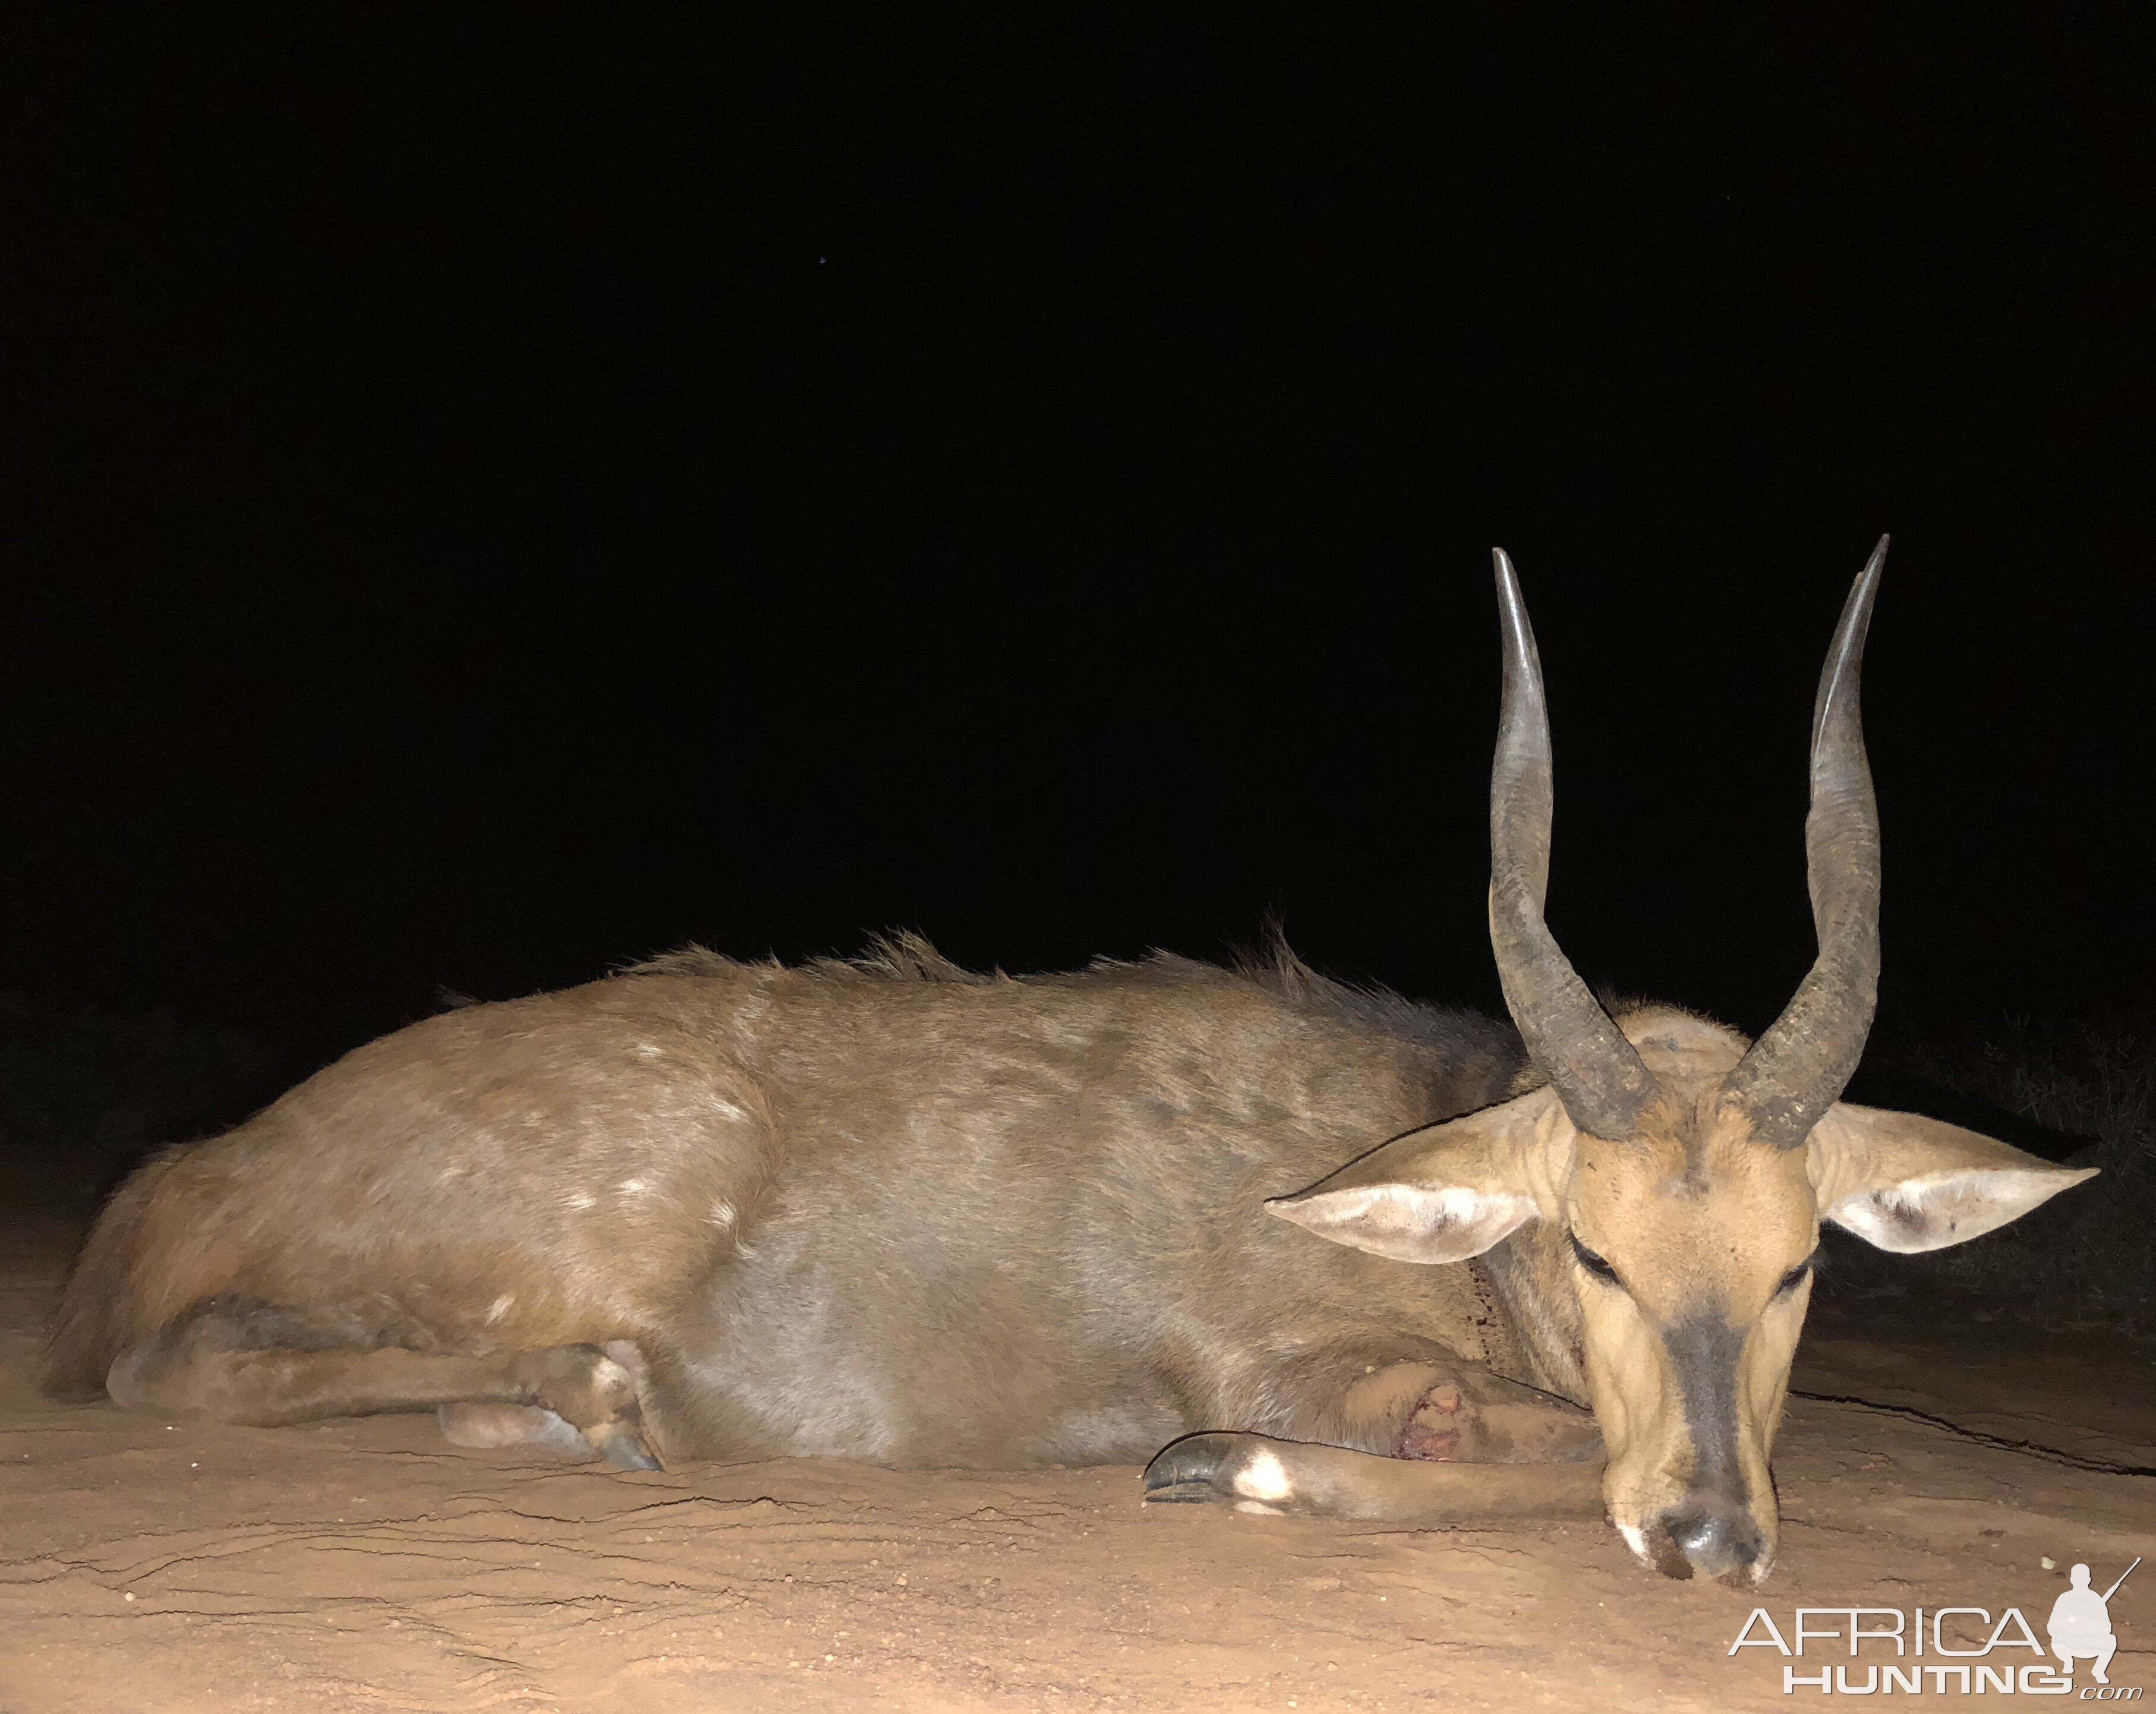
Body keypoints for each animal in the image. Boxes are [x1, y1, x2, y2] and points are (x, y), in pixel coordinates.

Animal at [42, 539, 2086, 1578]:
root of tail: (186, 1173)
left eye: (1801, 1263)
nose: (1712, 1537)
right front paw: (1232, 1478)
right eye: (1592, 1247)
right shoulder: (1295, 1355)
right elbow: (1467, 1440)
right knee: (176, 1361)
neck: (1414, 1129)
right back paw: (589, 1395)